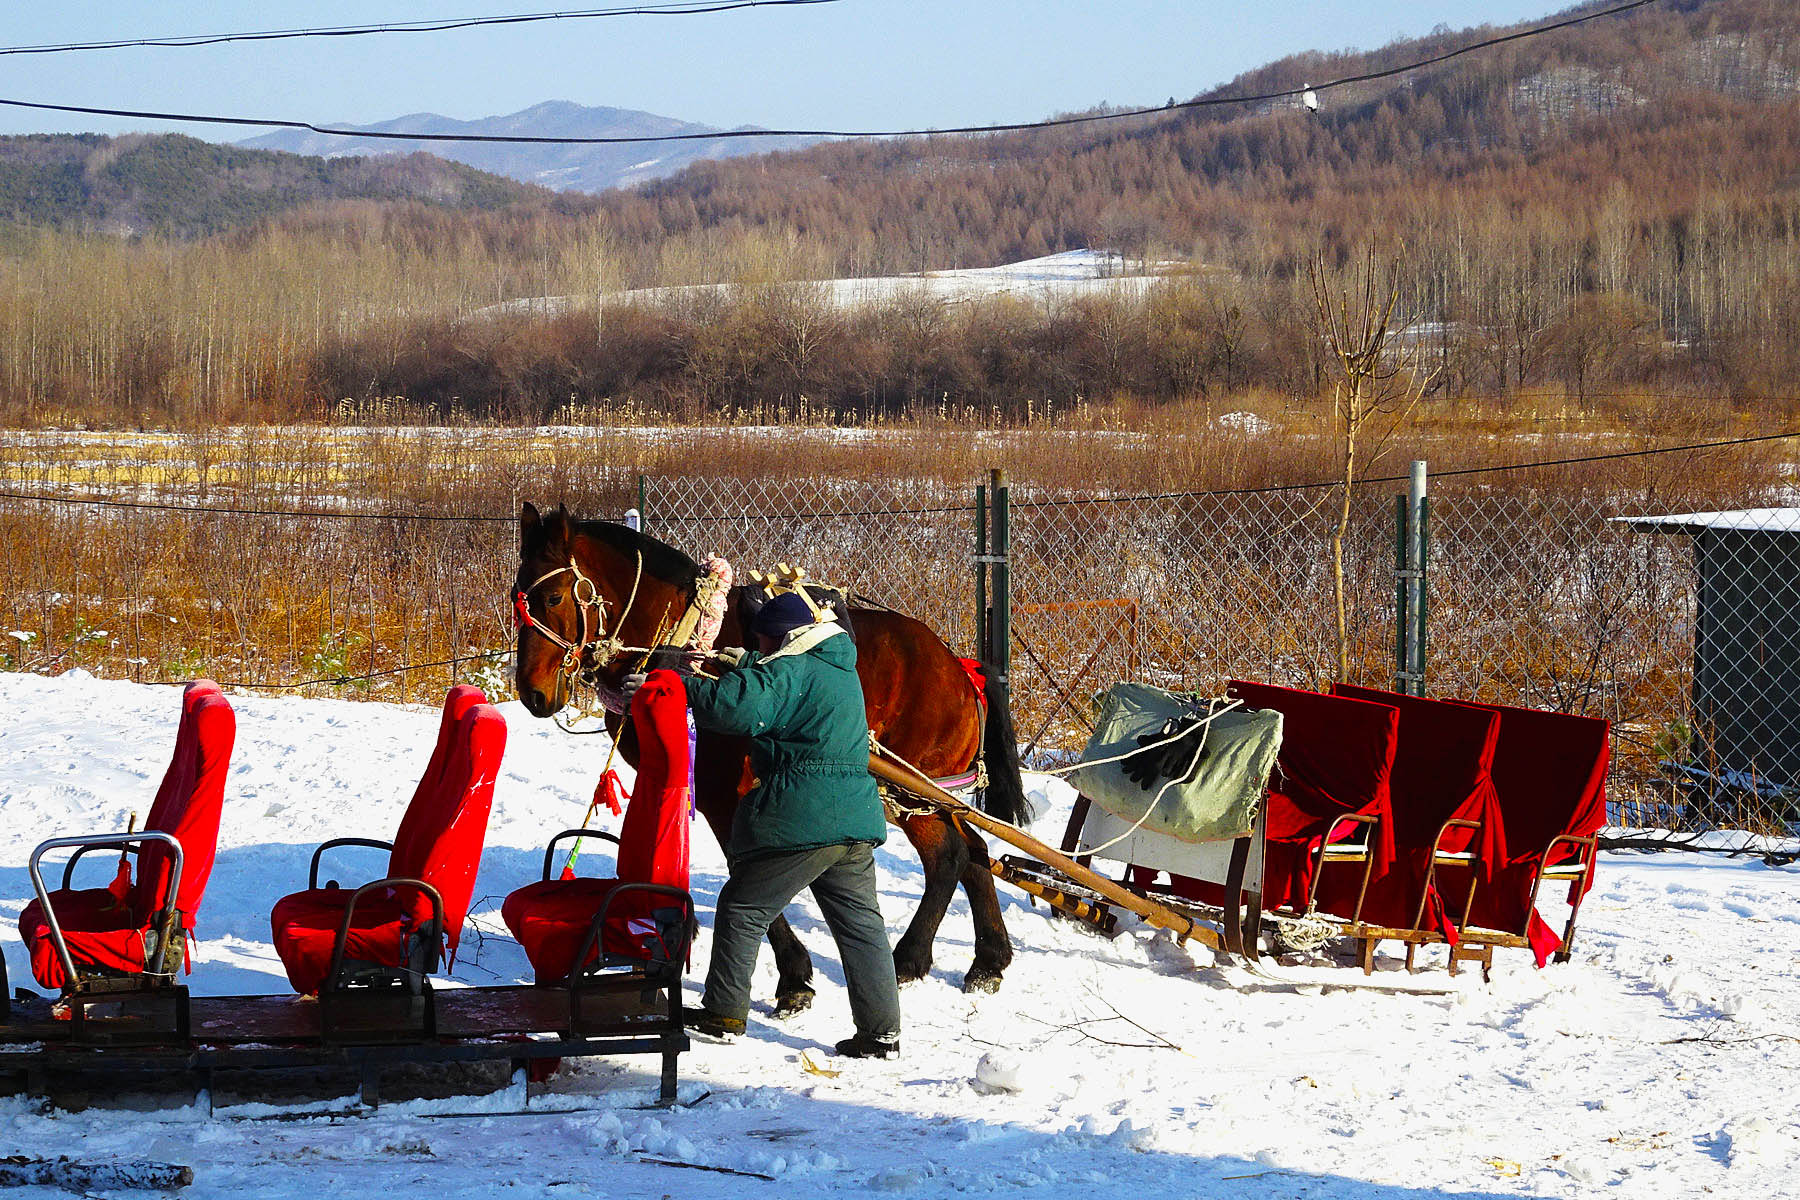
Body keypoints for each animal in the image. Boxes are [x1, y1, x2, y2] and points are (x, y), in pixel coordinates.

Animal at [514, 503, 1036, 1007]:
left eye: (554, 598)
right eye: (519, 594)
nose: (532, 694)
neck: (683, 646)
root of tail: (960, 668)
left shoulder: (724, 793)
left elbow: (744, 873)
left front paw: (793, 975)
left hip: (915, 792)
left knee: (947, 857)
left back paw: (910, 957)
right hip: (919, 794)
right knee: (973, 851)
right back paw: (989, 960)